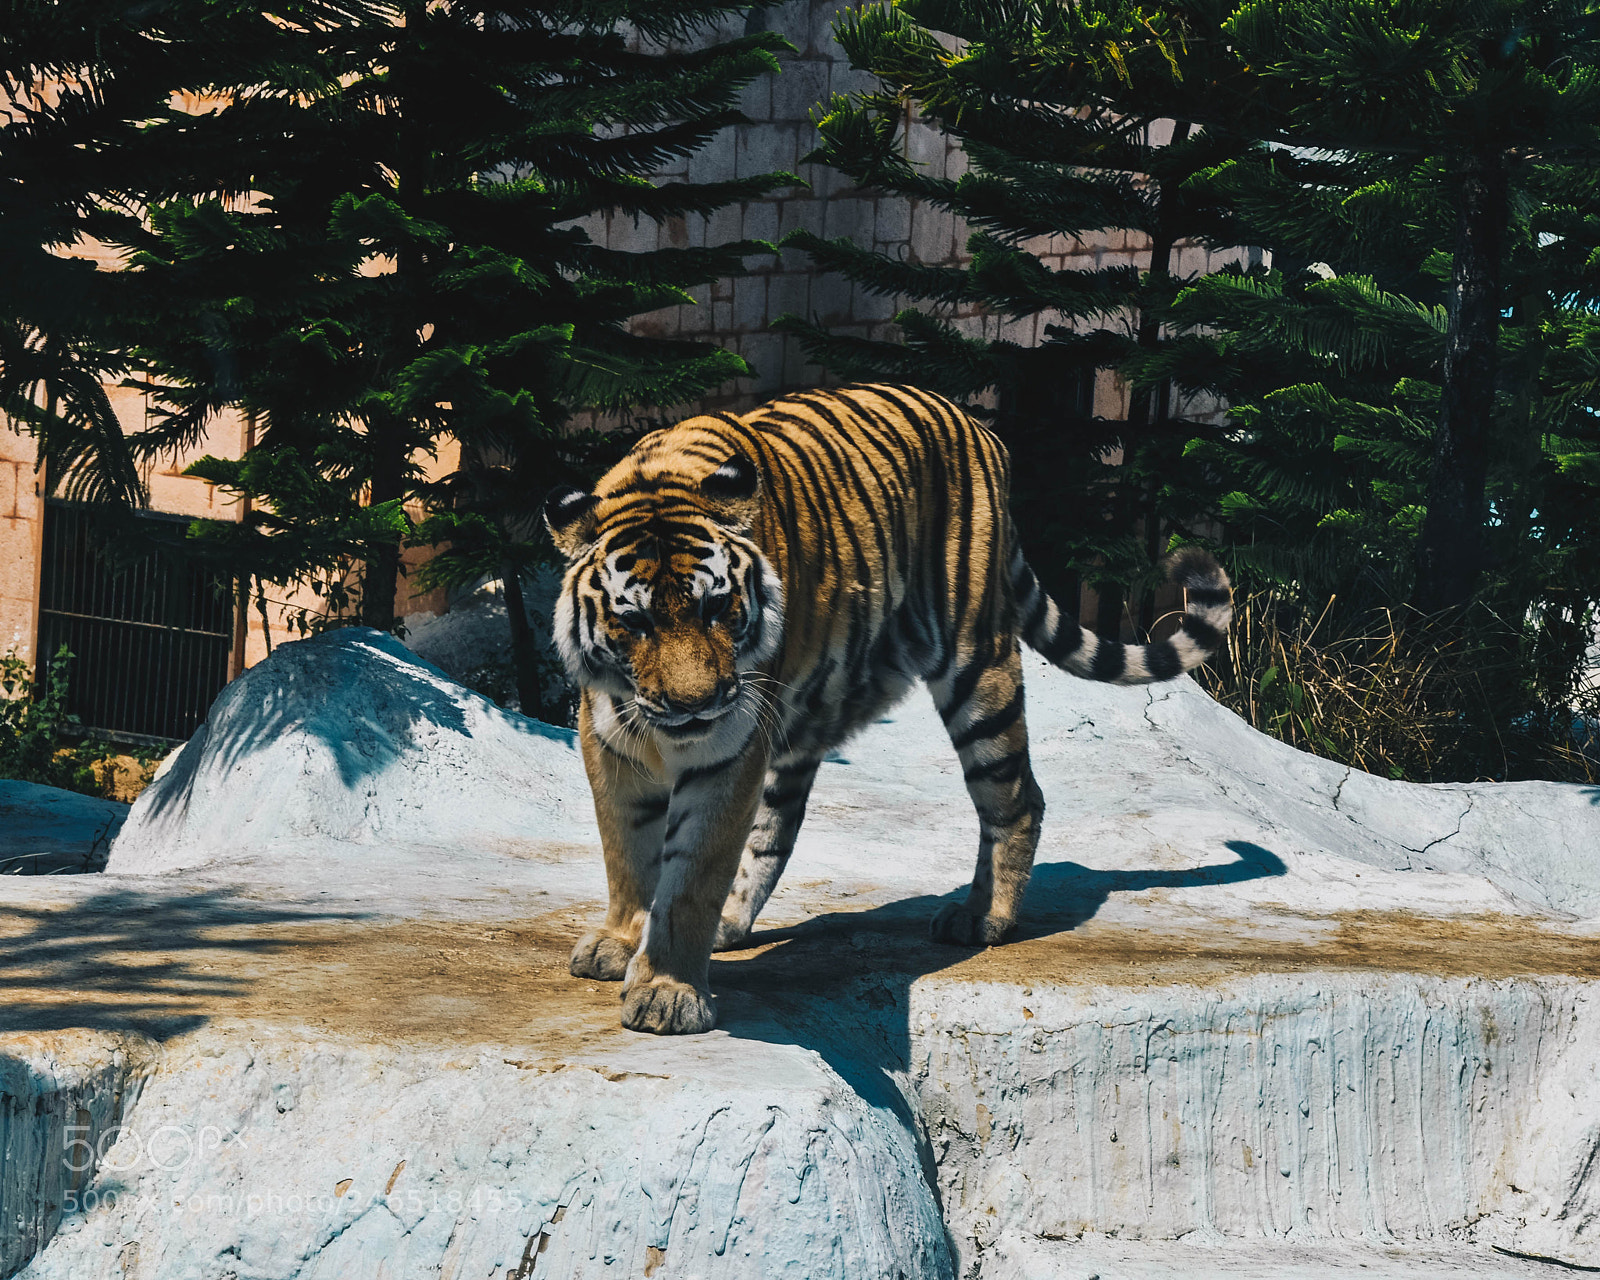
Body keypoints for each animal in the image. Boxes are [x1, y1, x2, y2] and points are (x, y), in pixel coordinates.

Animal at [544, 383, 1231, 1035]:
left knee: (1017, 797)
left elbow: (691, 875)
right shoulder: (609, 738)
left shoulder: (728, 744)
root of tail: (977, 427)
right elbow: (628, 854)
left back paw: (983, 918)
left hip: (976, 665)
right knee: (774, 829)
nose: (696, 707)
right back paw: (731, 922)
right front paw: (623, 941)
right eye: (635, 622)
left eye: (715, 607)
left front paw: (668, 991)